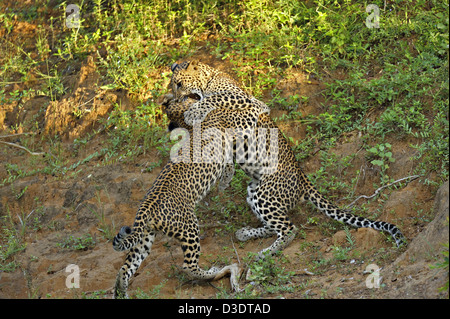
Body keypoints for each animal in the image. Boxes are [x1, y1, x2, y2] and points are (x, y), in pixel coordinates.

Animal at [112, 94, 268, 298]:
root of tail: (146, 208)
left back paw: (120, 292)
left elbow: (227, 164)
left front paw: (225, 179)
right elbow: (253, 109)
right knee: (188, 265)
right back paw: (212, 272)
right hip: (189, 227)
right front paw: (260, 104)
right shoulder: (240, 122)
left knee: (125, 268)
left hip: (144, 238)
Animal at [165, 59, 408, 258]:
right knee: (275, 225)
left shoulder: (250, 102)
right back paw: (246, 233)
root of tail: (302, 178)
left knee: (289, 229)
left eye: (179, 84)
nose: (174, 99)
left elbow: (218, 99)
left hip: (265, 193)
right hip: (254, 191)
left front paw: (194, 112)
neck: (209, 79)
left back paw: (265, 253)